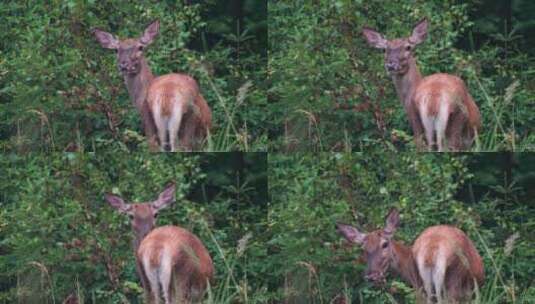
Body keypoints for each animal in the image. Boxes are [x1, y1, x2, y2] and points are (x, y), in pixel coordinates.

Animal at [364, 18, 482, 151]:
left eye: (408, 47)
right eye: (384, 49)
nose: (391, 64)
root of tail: (435, 100)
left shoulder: (411, 113)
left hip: (452, 119)